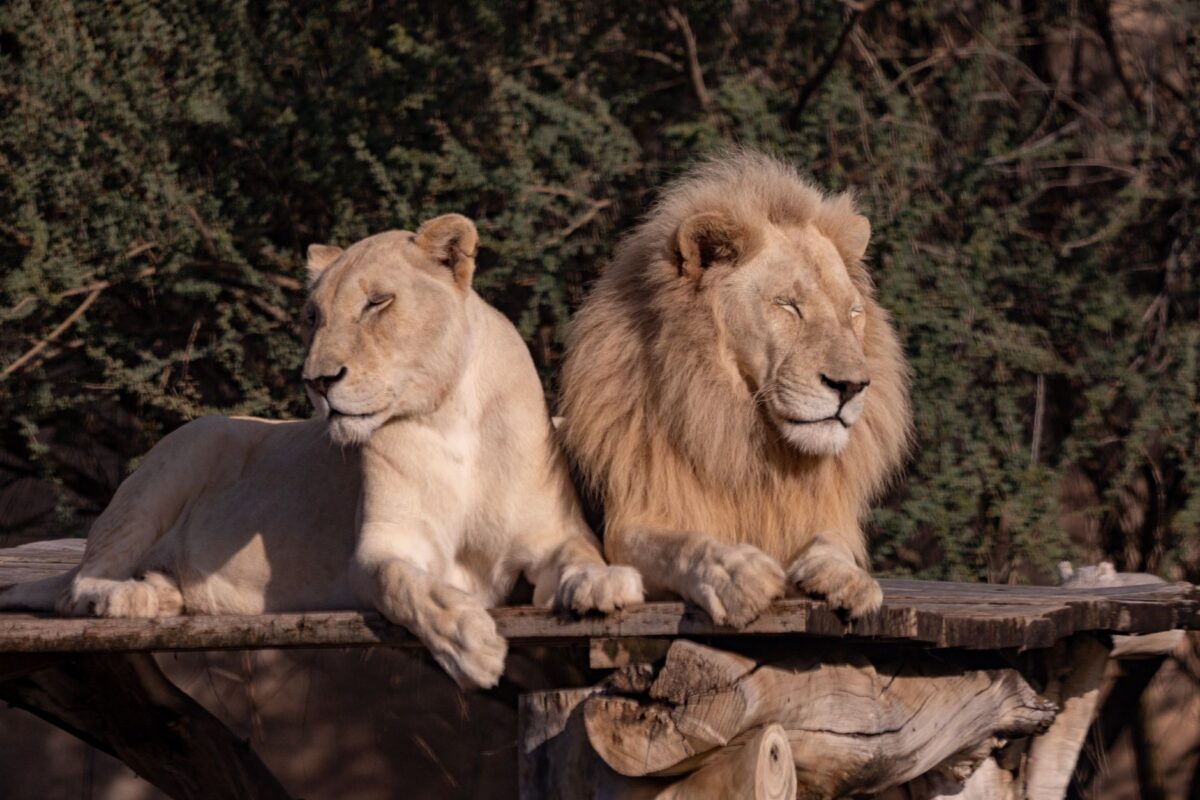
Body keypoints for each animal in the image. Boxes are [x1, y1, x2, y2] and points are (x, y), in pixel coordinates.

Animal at [0, 214, 643, 688]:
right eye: (313, 315)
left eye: (377, 304)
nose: (317, 381)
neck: (448, 417)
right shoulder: (384, 549)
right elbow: (411, 588)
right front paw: (470, 644)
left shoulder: (551, 533)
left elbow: (582, 555)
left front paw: (604, 584)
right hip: (181, 454)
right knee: (78, 586)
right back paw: (126, 597)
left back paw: (161, 593)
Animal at [559, 151, 911, 626]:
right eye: (787, 306)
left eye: (852, 313)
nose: (852, 386)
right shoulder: (631, 519)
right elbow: (684, 544)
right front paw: (737, 573)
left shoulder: (822, 514)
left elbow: (832, 543)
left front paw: (847, 578)